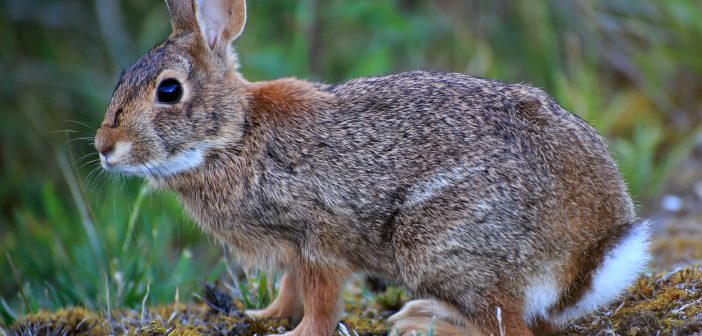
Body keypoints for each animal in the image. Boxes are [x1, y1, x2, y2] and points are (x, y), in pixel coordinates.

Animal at [95, 0, 656, 336]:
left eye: (169, 91)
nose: (104, 147)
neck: (233, 136)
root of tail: (587, 257)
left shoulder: (319, 239)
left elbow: (321, 301)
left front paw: (298, 334)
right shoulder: (293, 251)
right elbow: (290, 289)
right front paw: (265, 316)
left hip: (437, 244)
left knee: (507, 326)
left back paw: (424, 323)